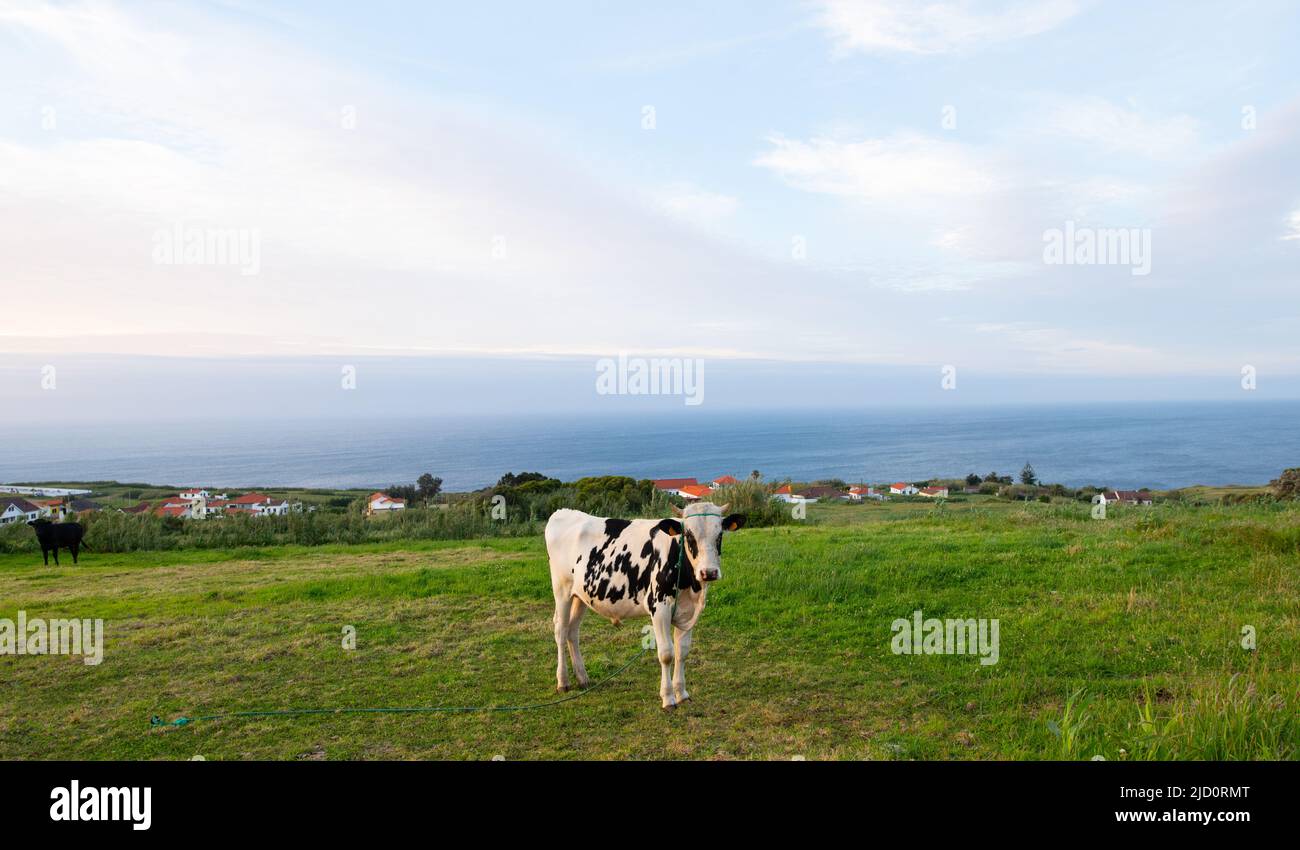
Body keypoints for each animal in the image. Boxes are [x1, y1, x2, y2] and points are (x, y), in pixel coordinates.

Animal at [540, 501, 743, 707]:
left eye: (719, 535)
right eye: (689, 535)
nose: (709, 572)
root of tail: (563, 512)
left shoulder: (688, 611)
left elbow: (682, 652)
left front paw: (682, 693)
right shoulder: (659, 607)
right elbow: (667, 653)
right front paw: (668, 698)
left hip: (581, 595)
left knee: (572, 631)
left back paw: (582, 678)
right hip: (562, 591)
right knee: (561, 630)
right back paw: (563, 681)